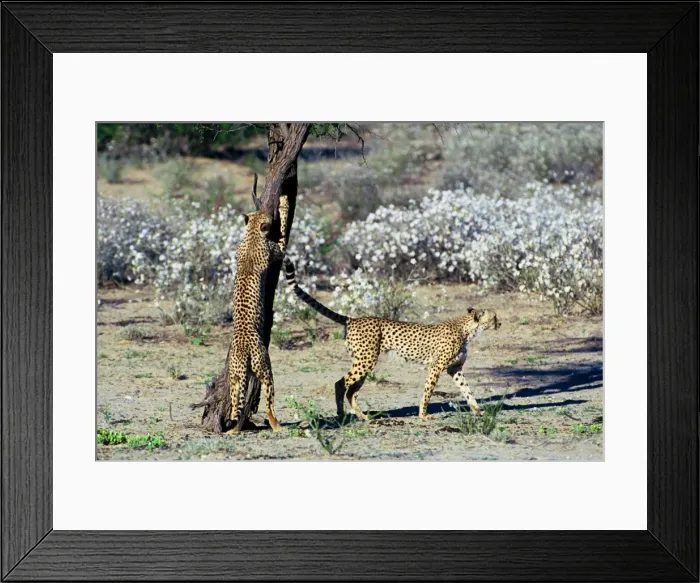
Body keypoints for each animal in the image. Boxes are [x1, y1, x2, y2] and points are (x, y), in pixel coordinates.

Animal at [225, 195, 289, 433]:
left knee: (237, 405)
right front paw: (284, 202)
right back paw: (277, 425)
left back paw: (234, 429)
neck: (252, 233)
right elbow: (284, 231)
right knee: (269, 402)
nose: (268, 212)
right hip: (265, 367)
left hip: (236, 377)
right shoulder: (277, 250)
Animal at [283, 257, 501, 421]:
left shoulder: (454, 369)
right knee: (340, 384)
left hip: (364, 362)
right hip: (366, 360)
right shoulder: (436, 367)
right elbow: (428, 391)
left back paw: (362, 416)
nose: (500, 323)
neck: (466, 329)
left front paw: (478, 410)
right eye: (494, 317)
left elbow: (467, 390)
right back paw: (341, 415)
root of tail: (353, 318)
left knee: (352, 391)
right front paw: (423, 415)